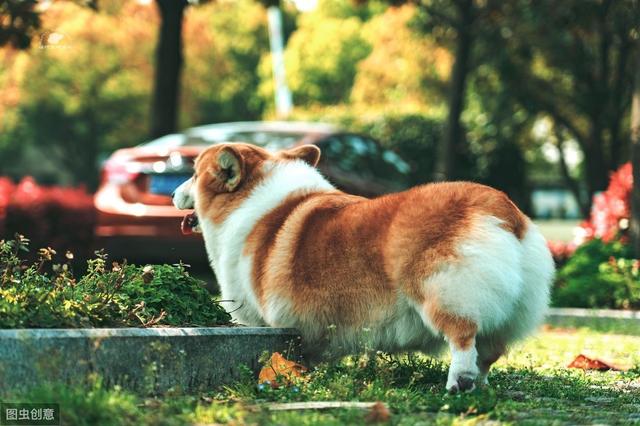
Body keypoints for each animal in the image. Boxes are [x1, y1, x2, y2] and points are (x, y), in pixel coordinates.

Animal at [172, 143, 552, 392]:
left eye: (193, 175)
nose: (174, 194)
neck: (249, 202)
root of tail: (502, 211)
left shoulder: (252, 317)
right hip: (507, 306)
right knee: (489, 351)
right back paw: (481, 385)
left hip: (445, 290)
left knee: (463, 336)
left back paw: (459, 381)